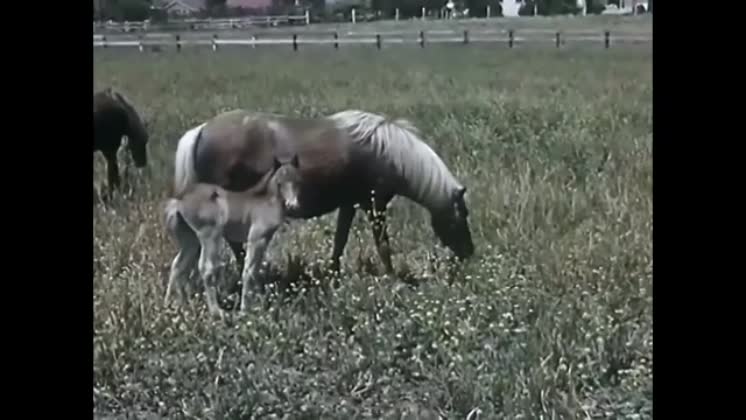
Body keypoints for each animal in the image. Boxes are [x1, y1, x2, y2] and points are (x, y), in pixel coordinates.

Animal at [164, 153, 300, 316]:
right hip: (210, 236)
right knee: (205, 268)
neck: (265, 201)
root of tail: (179, 201)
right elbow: (248, 271)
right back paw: (216, 311)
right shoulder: (257, 238)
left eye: (297, 180)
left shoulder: (265, 239)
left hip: (190, 240)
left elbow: (256, 270)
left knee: (178, 265)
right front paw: (245, 309)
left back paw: (174, 304)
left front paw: (259, 301)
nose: (293, 205)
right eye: (280, 183)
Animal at [170, 108, 470, 280]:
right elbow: (382, 244)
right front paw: (393, 278)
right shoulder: (375, 205)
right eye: (461, 216)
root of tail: (201, 130)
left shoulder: (350, 204)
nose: (469, 253)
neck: (384, 151)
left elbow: (340, 240)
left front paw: (333, 274)